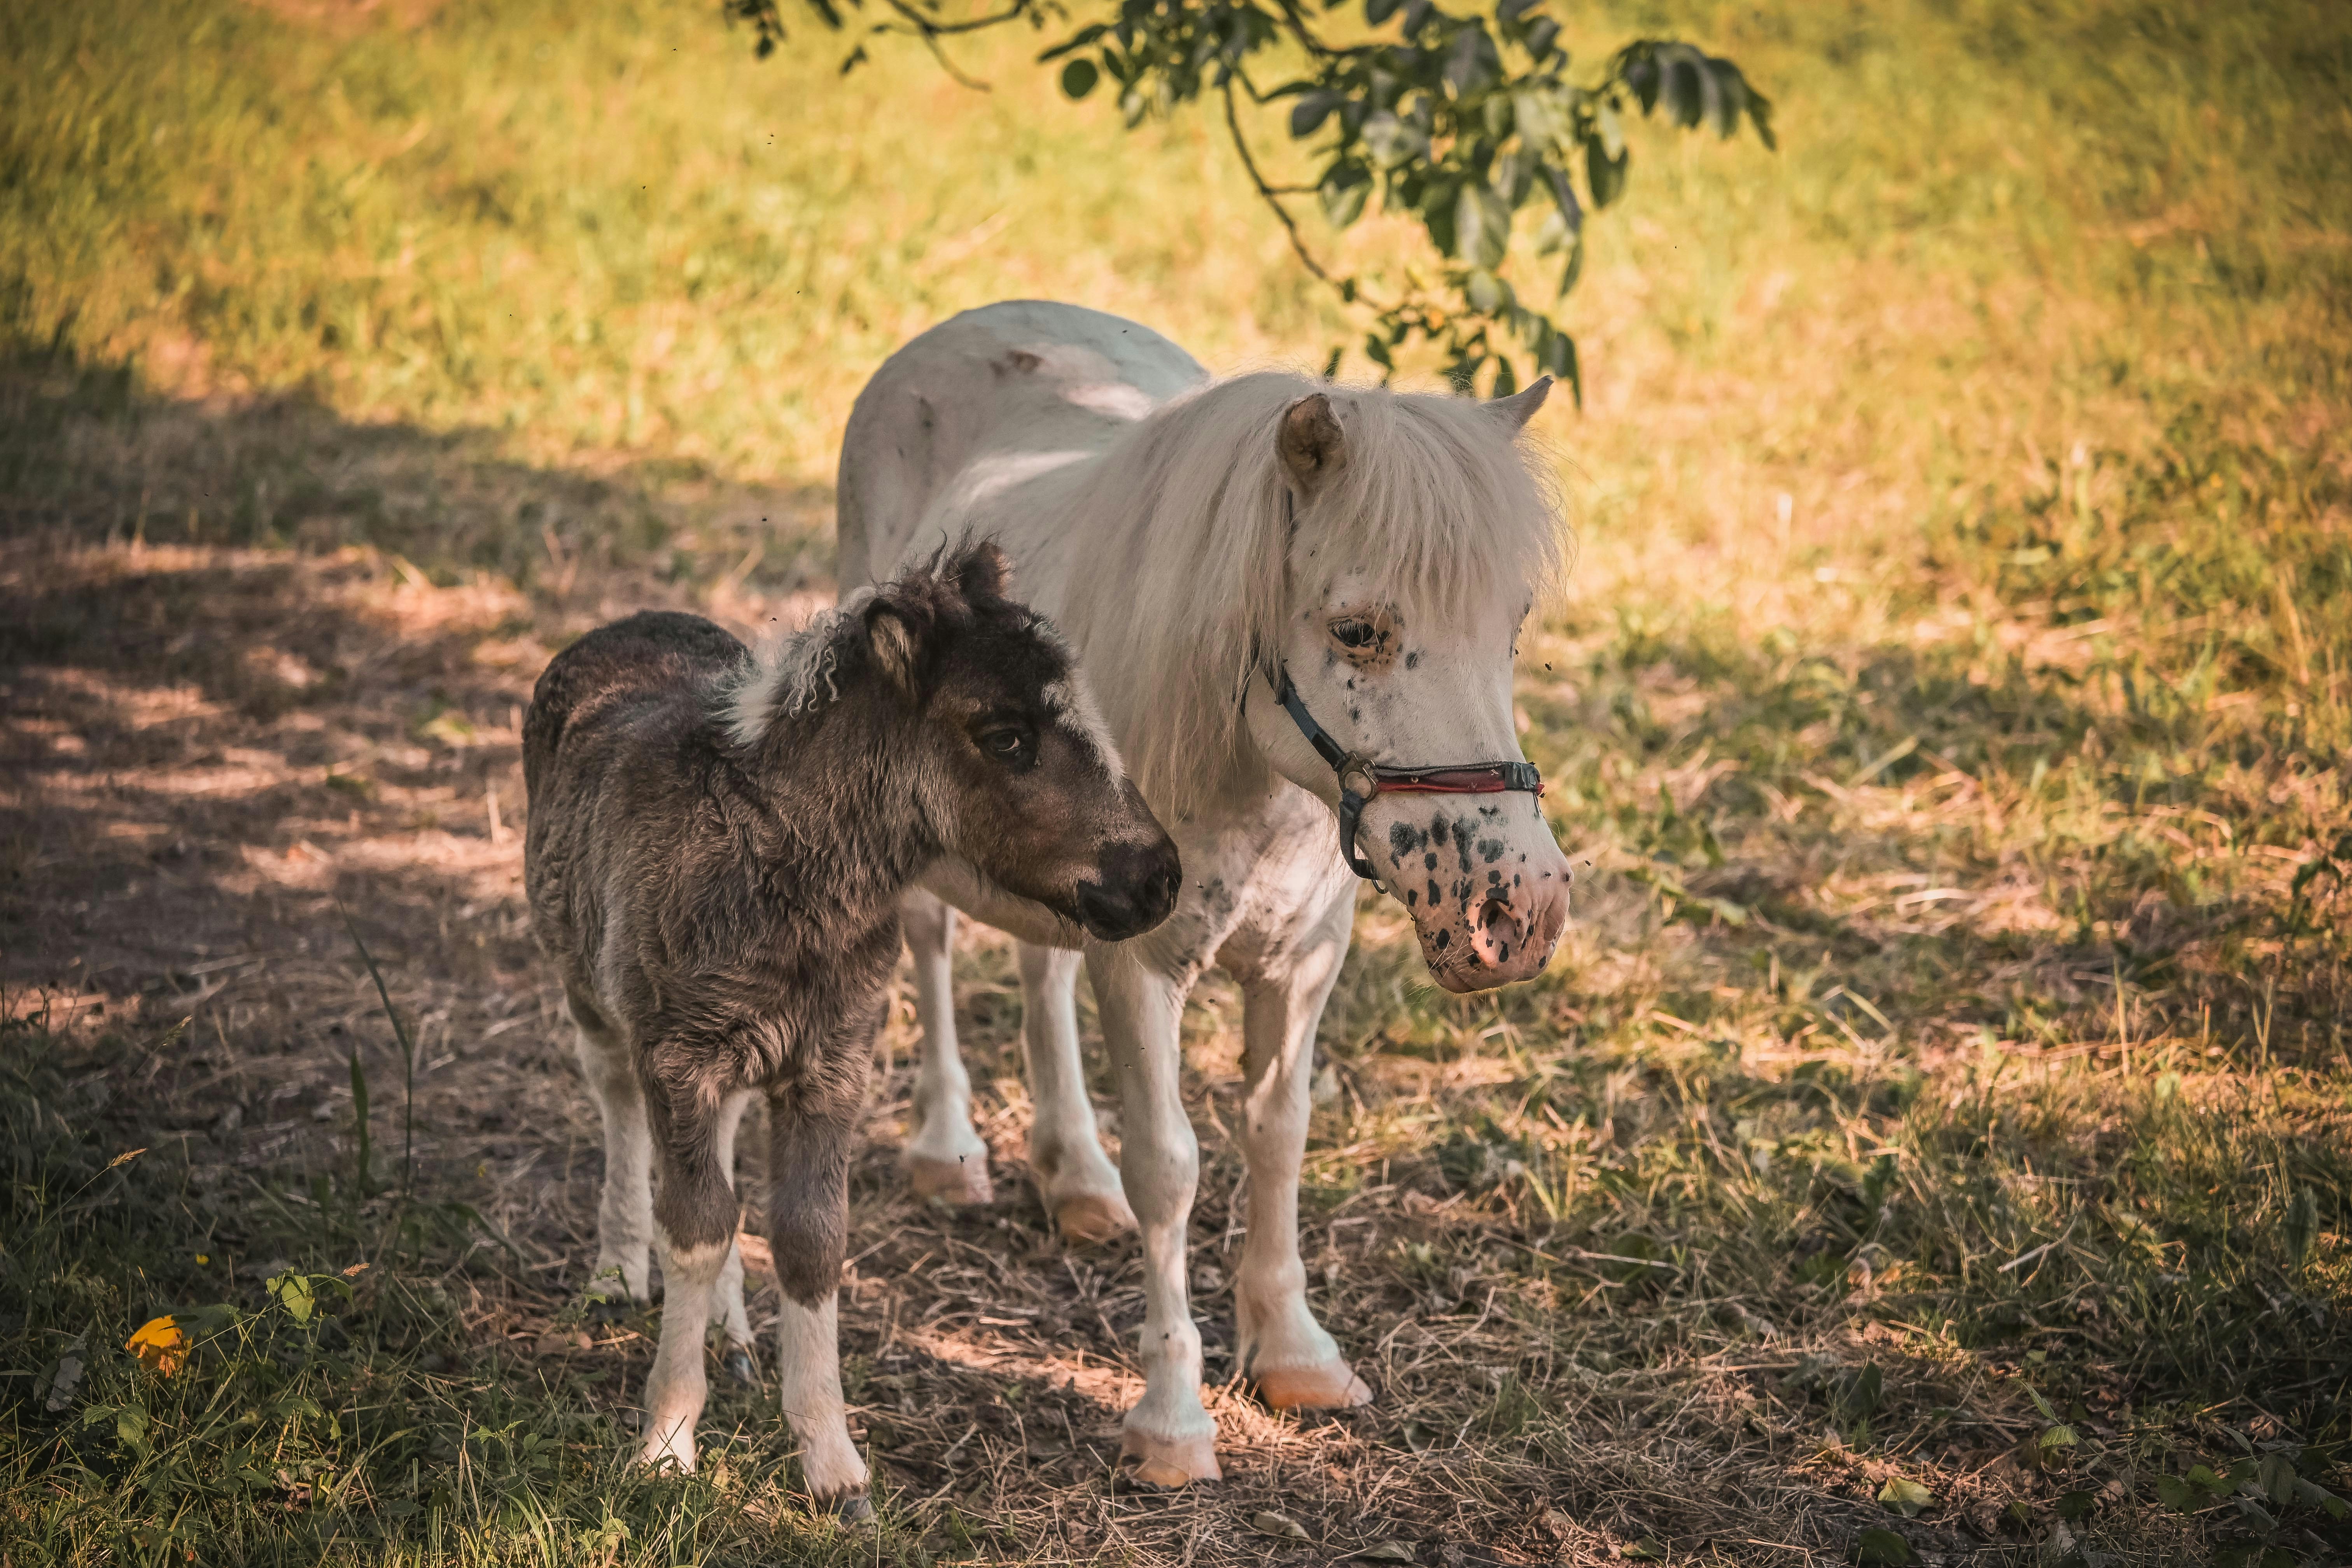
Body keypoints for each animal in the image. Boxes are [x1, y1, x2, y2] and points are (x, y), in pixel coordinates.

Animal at [521, 543, 1180, 1513]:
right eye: (1007, 737)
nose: (1159, 877)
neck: (787, 879)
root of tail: (624, 621)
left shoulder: (831, 1064)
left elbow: (809, 1237)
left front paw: (832, 1467)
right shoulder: (679, 1057)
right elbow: (696, 1225)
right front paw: (668, 1443)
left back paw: (736, 1338)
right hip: (590, 991)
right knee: (620, 1109)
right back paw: (615, 1272)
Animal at [836, 300, 1572, 1488]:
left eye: (1513, 624)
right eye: (1358, 629)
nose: (1519, 911)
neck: (1258, 788)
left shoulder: (1301, 967)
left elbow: (1277, 1136)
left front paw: (1297, 1356)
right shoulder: (1144, 970)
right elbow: (1173, 1168)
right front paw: (1172, 1419)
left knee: (1042, 969)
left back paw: (1075, 1177)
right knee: (935, 945)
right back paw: (949, 1153)